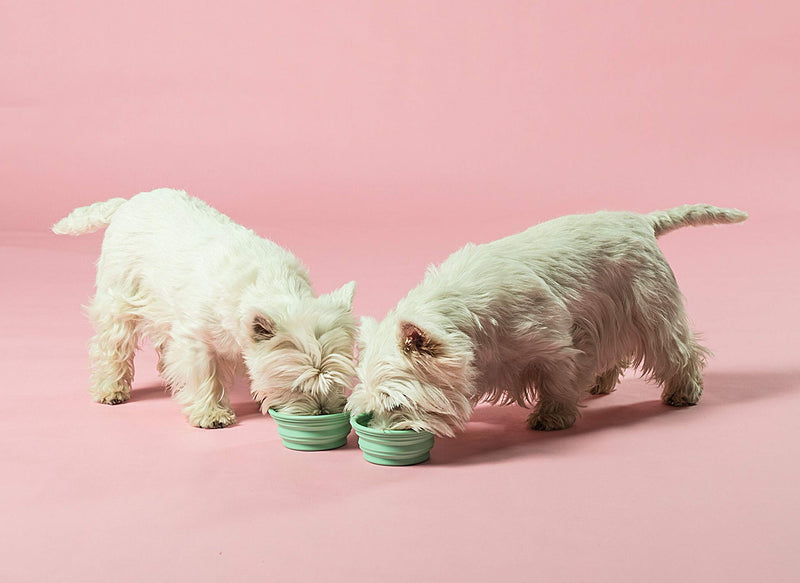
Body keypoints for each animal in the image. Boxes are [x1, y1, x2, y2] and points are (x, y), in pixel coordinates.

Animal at [53, 188, 356, 428]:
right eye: (297, 384)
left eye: (335, 379)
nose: (323, 412)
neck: (270, 284)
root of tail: (128, 202)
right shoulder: (195, 340)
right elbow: (203, 375)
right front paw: (211, 414)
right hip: (120, 296)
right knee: (113, 344)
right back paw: (111, 389)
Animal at [346, 205, 748, 438]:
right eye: (370, 406)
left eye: (396, 405)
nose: (381, 434)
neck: (463, 316)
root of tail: (641, 221)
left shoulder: (555, 342)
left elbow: (558, 378)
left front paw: (552, 417)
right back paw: (600, 383)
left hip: (650, 307)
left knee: (677, 348)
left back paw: (684, 392)